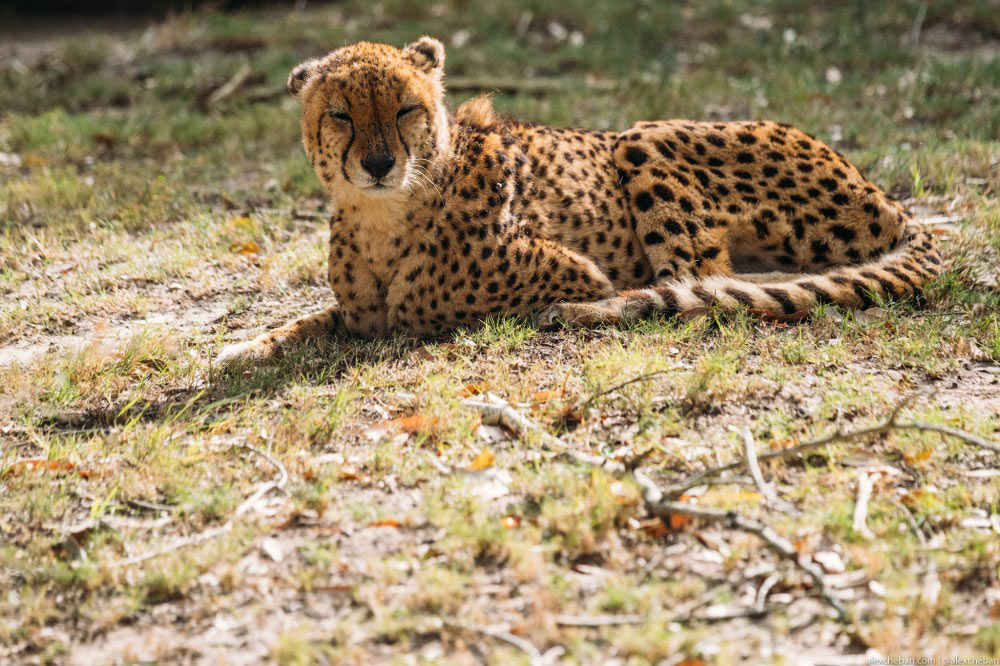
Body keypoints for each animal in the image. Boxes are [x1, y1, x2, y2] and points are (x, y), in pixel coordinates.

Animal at [215, 37, 940, 364]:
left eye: (404, 110)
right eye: (340, 114)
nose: (377, 163)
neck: (386, 214)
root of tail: (885, 198)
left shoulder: (570, 269)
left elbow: (416, 305)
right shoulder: (356, 310)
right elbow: (318, 318)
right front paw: (247, 346)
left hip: (642, 139)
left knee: (699, 287)